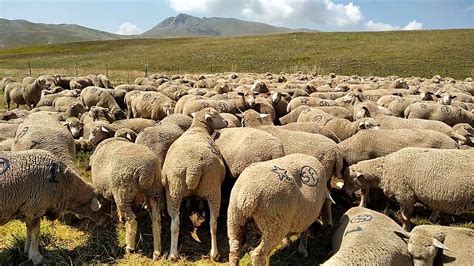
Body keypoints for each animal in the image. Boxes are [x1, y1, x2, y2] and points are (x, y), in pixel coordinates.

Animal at [162, 107, 229, 260]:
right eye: (216, 115)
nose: (227, 122)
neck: (198, 128)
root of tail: (193, 167)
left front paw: (189, 205)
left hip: (173, 190)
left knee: (175, 223)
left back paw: (173, 254)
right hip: (213, 189)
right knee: (213, 224)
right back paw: (214, 253)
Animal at [344, 147, 474, 230]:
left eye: (351, 179)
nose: (344, 192)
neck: (384, 169)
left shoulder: (405, 195)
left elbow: (405, 216)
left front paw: (406, 229)